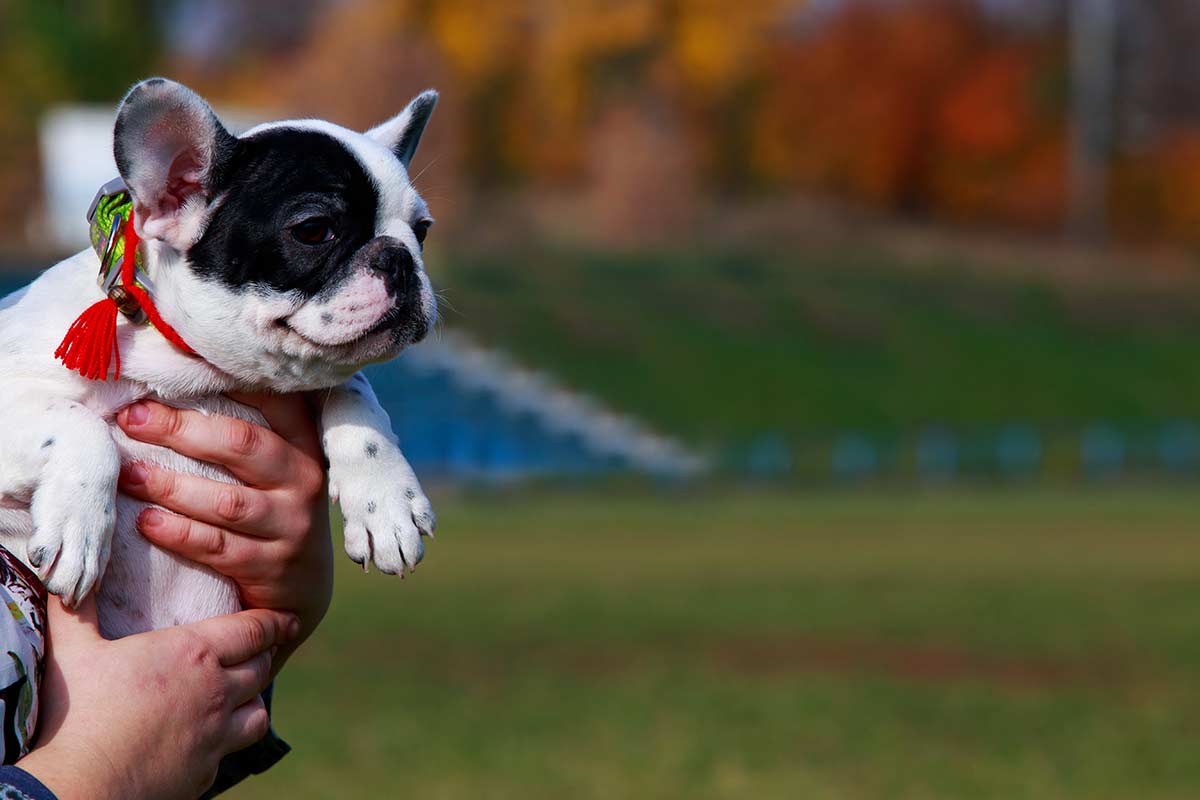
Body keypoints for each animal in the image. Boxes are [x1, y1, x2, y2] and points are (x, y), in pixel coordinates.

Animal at [0, 79, 436, 638]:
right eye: (315, 230)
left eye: (421, 230)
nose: (398, 257)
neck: (196, 370)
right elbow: (81, 425)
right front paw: (80, 526)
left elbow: (354, 389)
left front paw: (387, 501)